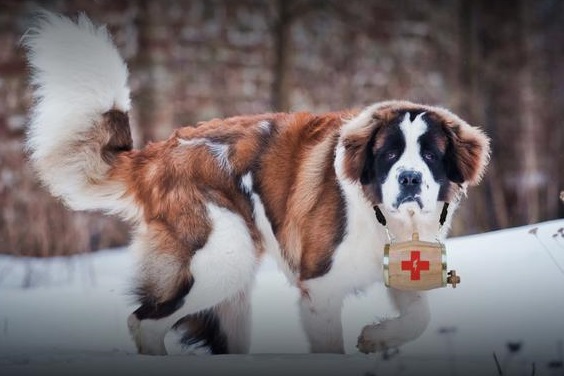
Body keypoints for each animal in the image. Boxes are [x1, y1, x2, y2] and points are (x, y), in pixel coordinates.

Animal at [23, 12, 490, 356]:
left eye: (430, 155)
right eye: (389, 154)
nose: (410, 178)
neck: (384, 218)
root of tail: (159, 151)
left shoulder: (403, 268)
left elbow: (419, 317)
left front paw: (378, 338)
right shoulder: (319, 289)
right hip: (222, 255)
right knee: (144, 322)